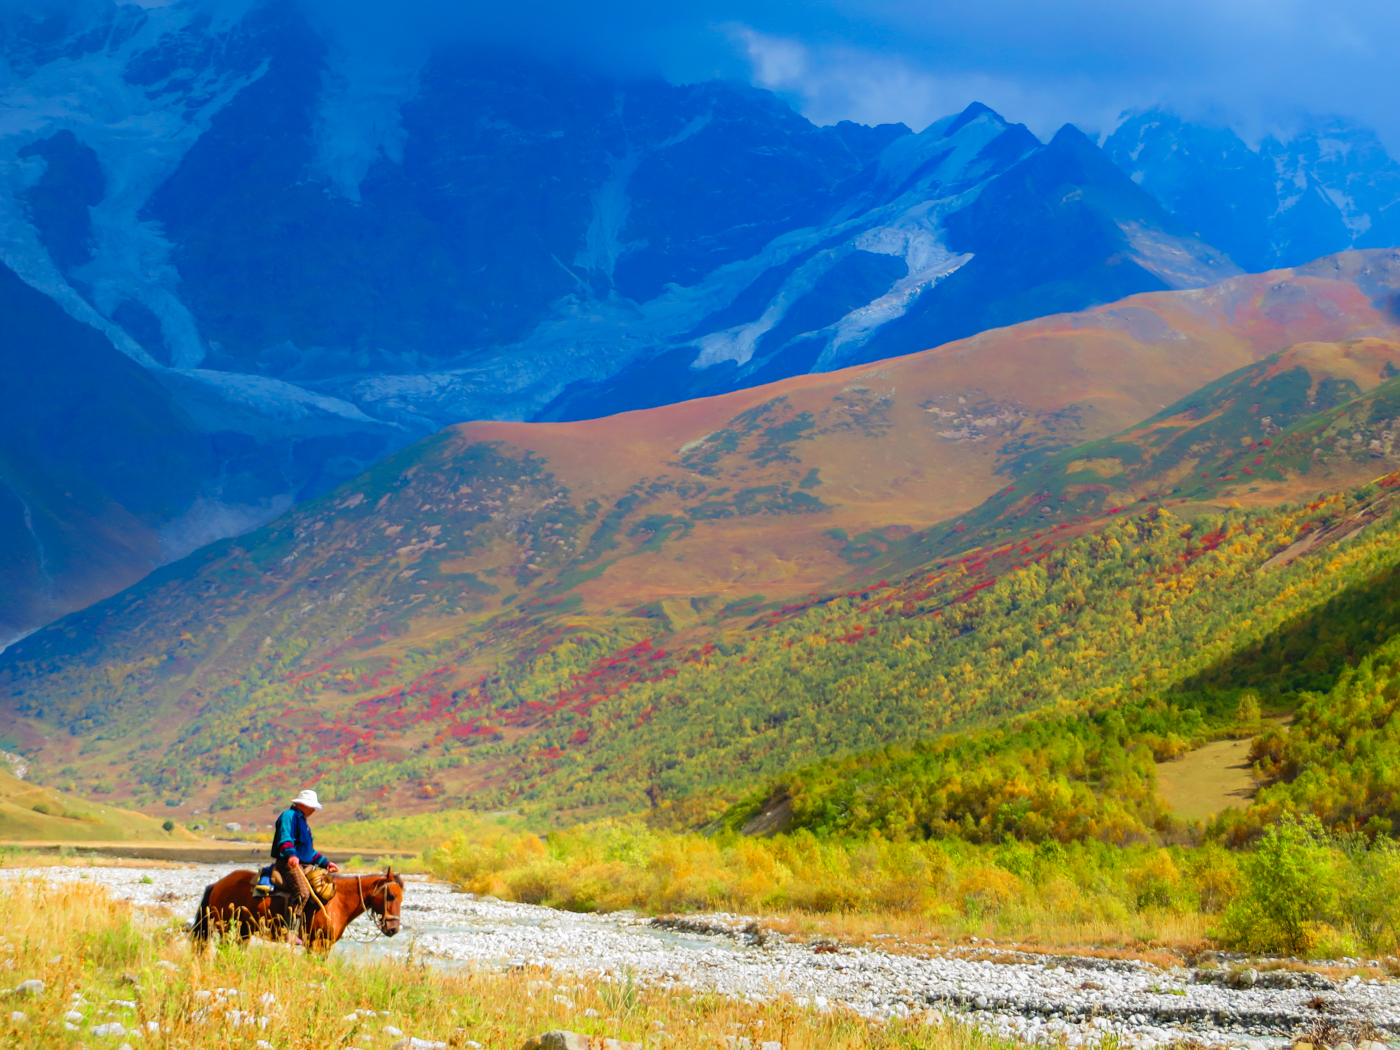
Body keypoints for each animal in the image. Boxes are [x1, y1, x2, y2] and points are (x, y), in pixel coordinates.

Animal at [190, 873, 406, 952]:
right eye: (390, 896)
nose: (393, 929)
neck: (336, 903)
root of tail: (217, 884)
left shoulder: (326, 945)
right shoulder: (316, 943)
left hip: (243, 932)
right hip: (227, 930)